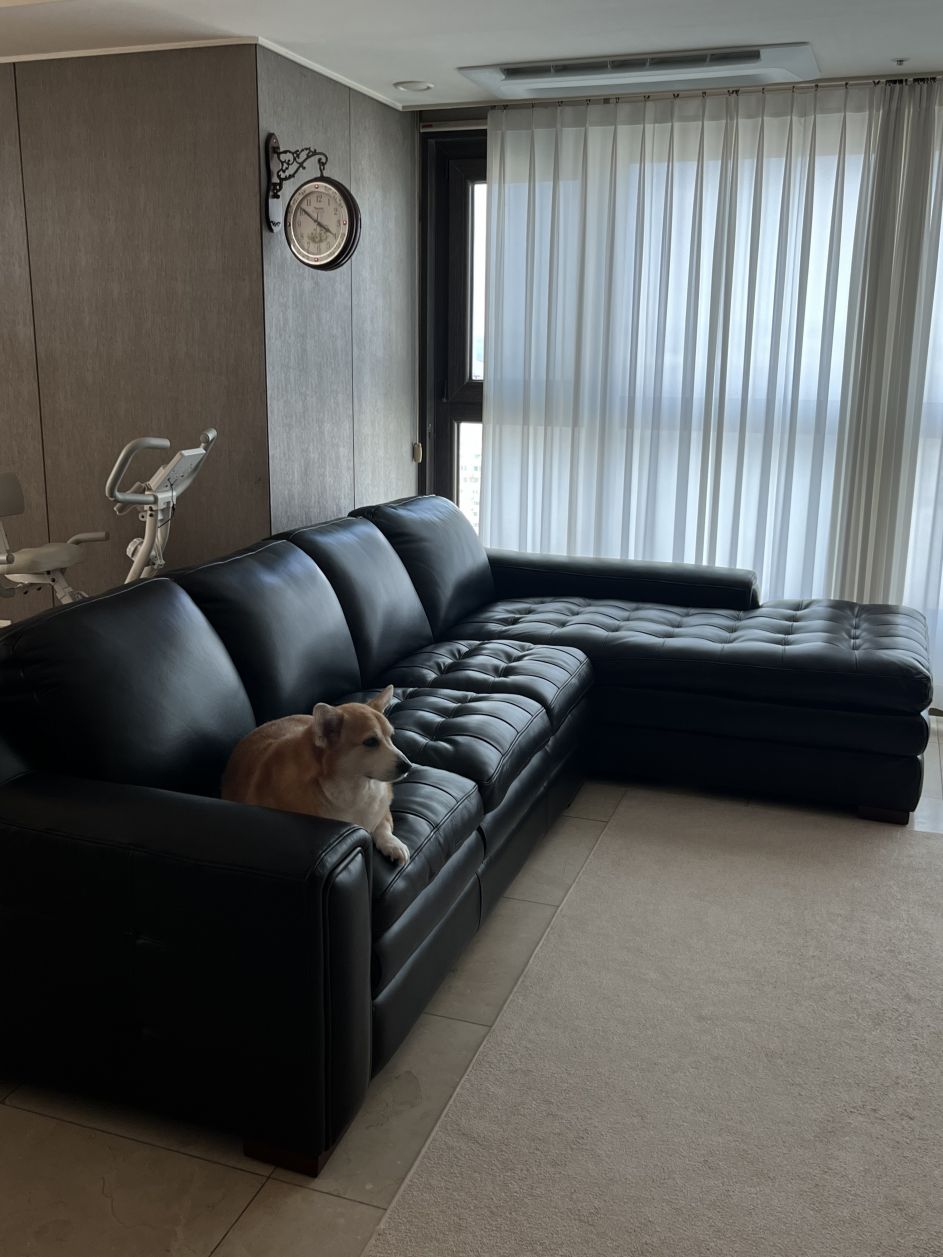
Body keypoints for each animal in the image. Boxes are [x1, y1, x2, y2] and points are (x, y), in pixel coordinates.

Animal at [221, 684, 412, 865]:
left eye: (391, 737)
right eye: (370, 742)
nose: (408, 766)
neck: (355, 787)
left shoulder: (381, 808)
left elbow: (383, 826)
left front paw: (394, 844)